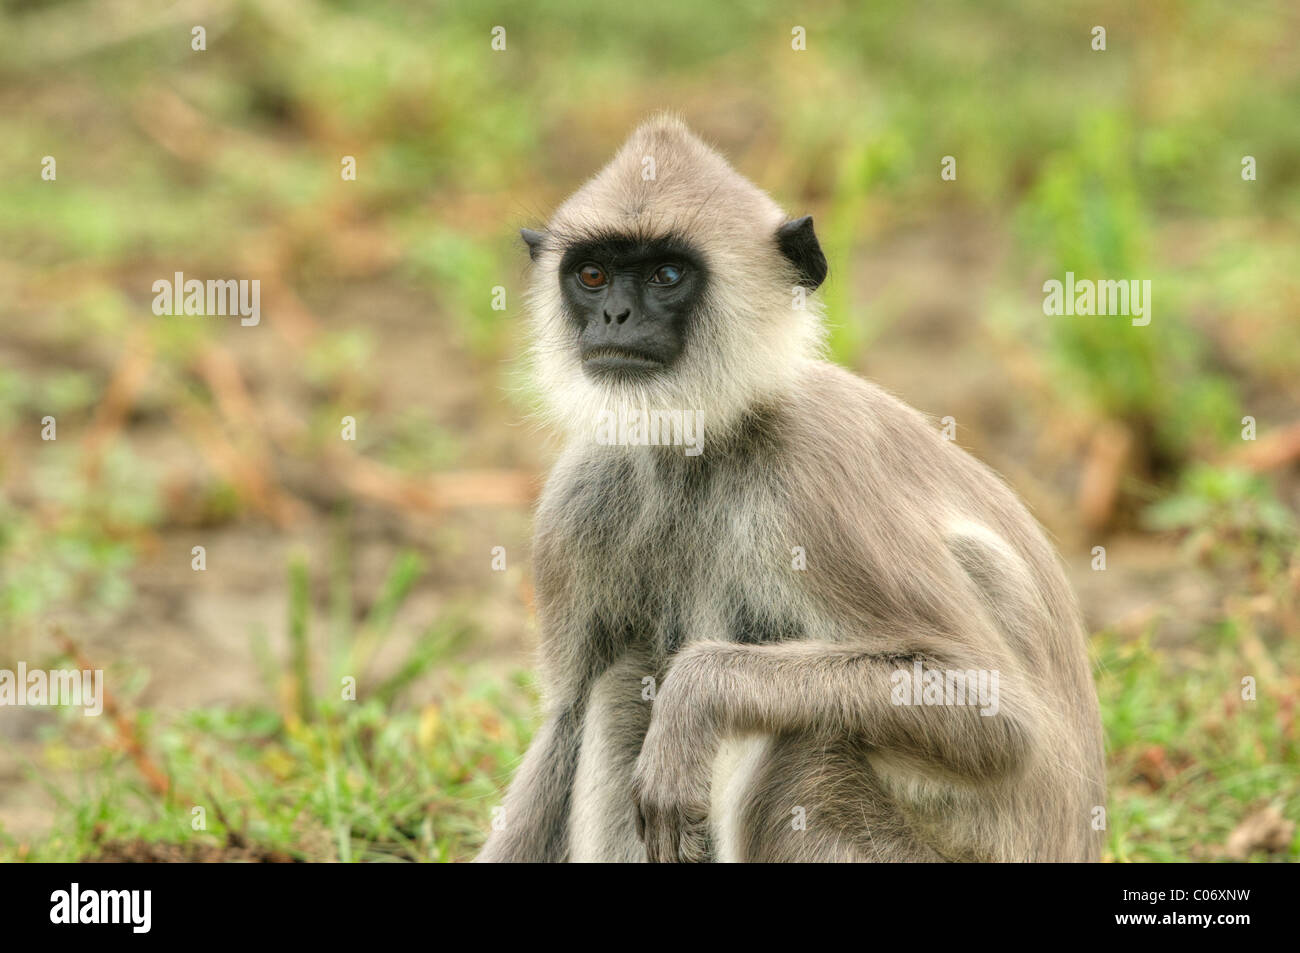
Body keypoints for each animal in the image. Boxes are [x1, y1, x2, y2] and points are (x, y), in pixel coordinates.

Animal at [478, 113, 1107, 863]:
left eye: (667, 274)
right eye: (594, 276)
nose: (615, 319)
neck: (700, 446)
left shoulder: (813, 474)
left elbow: (1001, 718)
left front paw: (697, 692)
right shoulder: (578, 499)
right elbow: (566, 719)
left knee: (791, 743)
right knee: (621, 685)